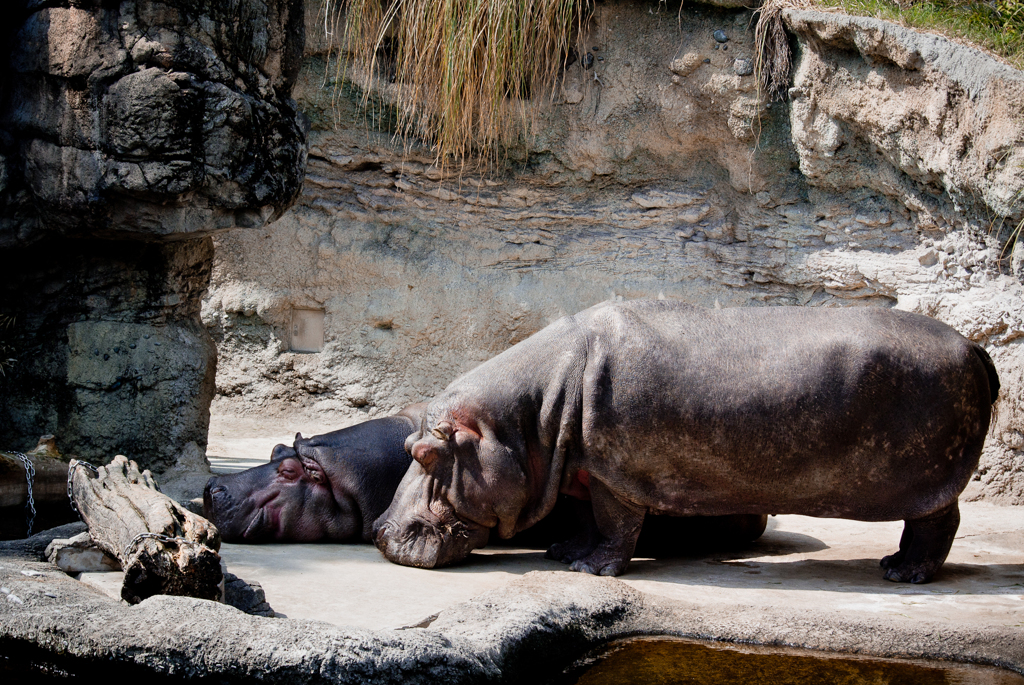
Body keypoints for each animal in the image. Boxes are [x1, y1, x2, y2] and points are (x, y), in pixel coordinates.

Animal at [374, 301, 999, 581]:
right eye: (406, 450)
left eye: (427, 454)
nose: (379, 531)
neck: (526, 415)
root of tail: (974, 346)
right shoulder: (582, 468)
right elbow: (585, 518)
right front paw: (565, 554)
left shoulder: (614, 474)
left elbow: (616, 524)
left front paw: (591, 571)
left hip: (929, 480)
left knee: (938, 522)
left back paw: (902, 572)